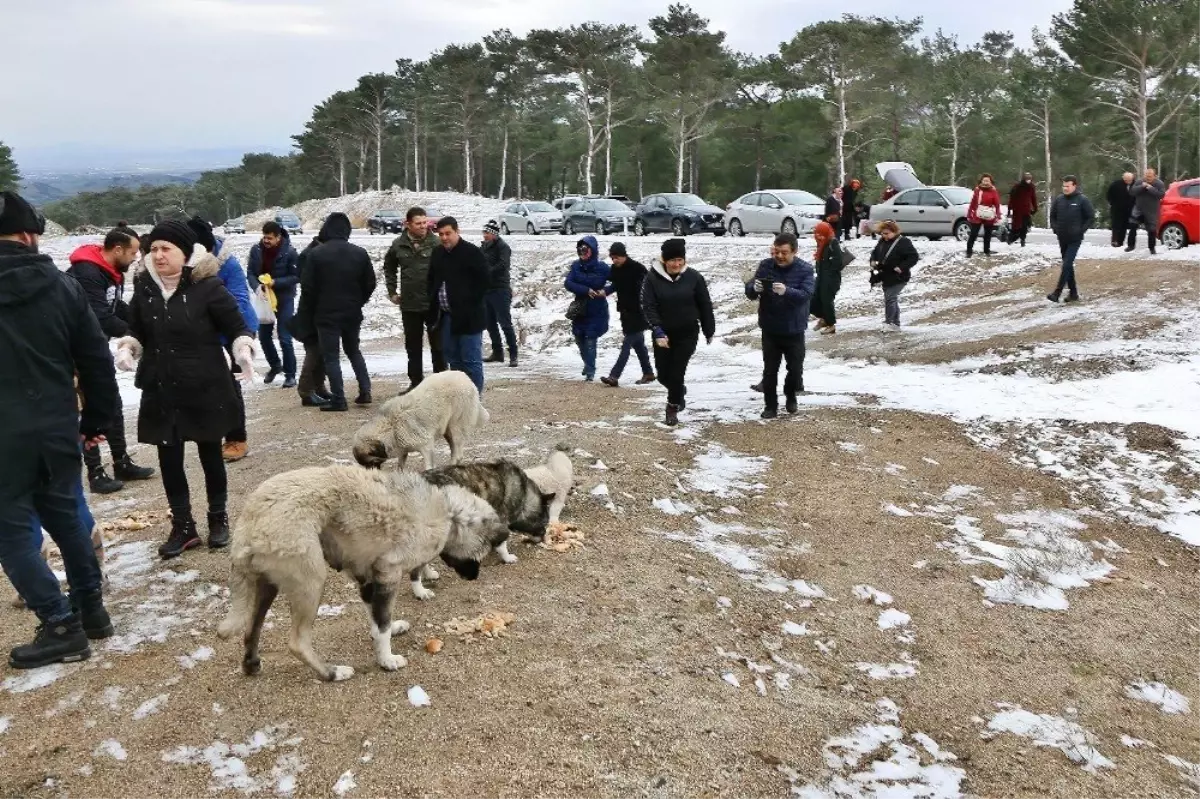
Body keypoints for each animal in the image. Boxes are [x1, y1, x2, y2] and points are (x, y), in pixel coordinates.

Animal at [350, 369, 487, 470]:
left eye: (370, 463)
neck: (391, 427)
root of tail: (466, 377)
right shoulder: (403, 450)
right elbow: (400, 465)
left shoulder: (426, 446)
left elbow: (428, 466)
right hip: (447, 430)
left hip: (456, 426)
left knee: (458, 453)